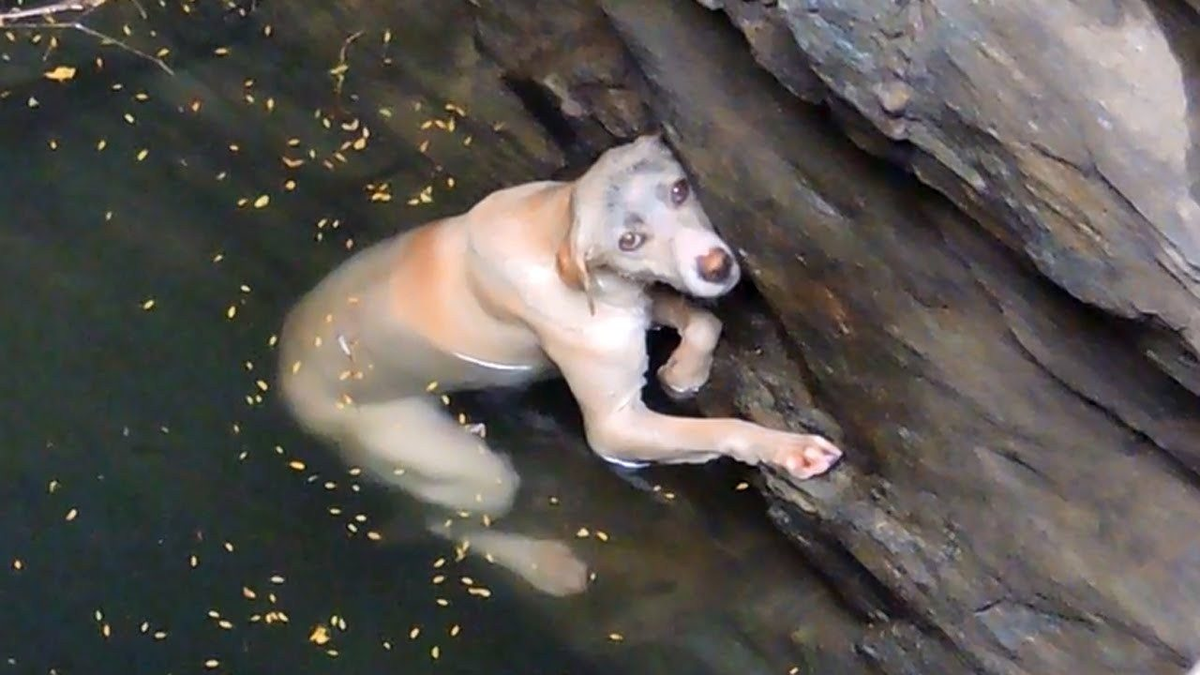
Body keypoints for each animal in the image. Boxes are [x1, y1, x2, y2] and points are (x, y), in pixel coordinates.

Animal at [277, 132, 844, 593]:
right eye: (629, 240)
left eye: (680, 190)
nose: (716, 265)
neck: (552, 226)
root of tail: (284, 376)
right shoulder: (615, 427)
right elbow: (718, 428)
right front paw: (785, 449)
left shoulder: (632, 304)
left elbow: (702, 320)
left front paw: (685, 371)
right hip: (457, 465)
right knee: (444, 523)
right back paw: (546, 566)